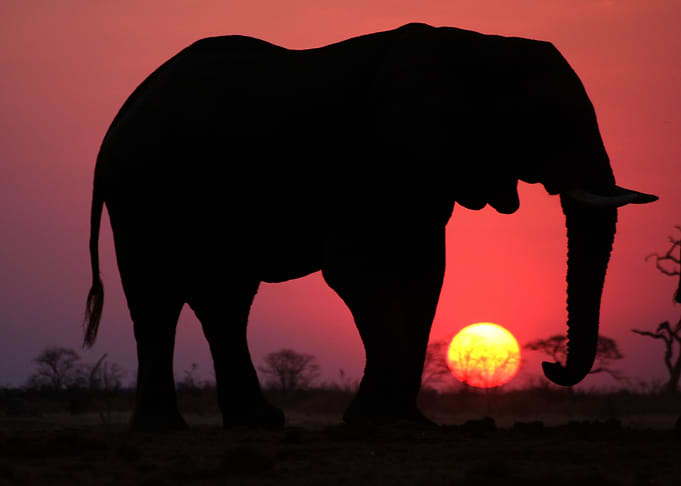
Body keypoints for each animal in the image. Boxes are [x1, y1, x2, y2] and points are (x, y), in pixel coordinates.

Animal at [84, 23, 657, 431]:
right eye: (547, 119)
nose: (551, 367)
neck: (476, 46)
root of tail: (119, 116)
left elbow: (425, 273)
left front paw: (410, 422)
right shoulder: (370, 161)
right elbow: (356, 271)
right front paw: (375, 419)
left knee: (225, 298)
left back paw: (258, 423)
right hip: (142, 191)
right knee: (157, 295)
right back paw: (163, 429)